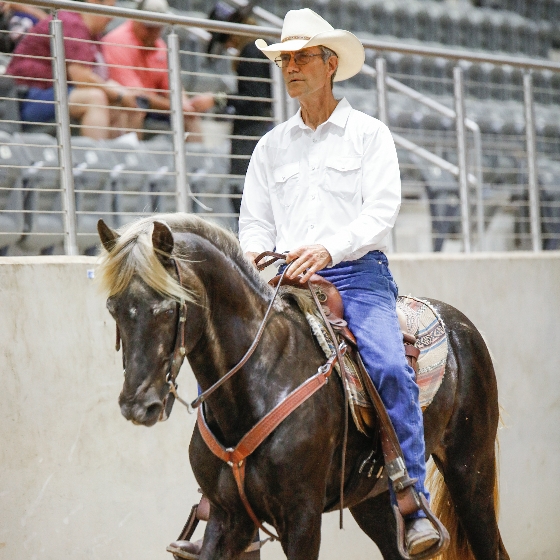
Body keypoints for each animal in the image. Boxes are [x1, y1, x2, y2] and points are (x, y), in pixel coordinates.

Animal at [98, 212, 510, 556]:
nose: (137, 405)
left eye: (168, 307)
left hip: (470, 471)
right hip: (372, 500)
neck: (260, 383)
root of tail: (459, 325)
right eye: (113, 308)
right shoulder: (227, 517)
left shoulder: (301, 518)